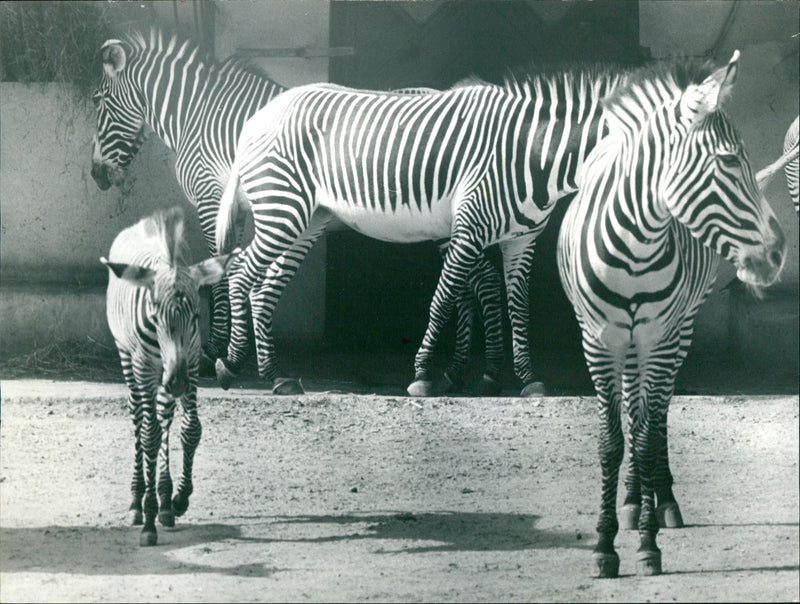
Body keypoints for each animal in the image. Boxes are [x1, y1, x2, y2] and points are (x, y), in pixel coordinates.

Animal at [90, 29, 506, 396]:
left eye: (96, 101)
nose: (96, 176)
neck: (198, 113)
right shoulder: (239, 209)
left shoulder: (211, 199)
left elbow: (220, 274)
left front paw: (213, 352)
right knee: (470, 287)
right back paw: (459, 374)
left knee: (481, 283)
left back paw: (485, 375)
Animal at [102, 206, 238, 546]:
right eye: (154, 314)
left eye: (197, 316)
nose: (175, 383)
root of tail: (139, 226)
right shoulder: (147, 367)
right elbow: (148, 436)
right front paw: (148, 518)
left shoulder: (190, 362)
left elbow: (191, 429)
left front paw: (178, 499)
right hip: (128, 358)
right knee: (139, 418)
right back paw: (137, 502)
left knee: (164, 416)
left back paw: (164, 499)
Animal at [212, 66, 627, 395]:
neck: (531, 154)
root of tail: (259, 116)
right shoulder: (468, 230)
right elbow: (443, 298)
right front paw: (425, 374)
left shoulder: (520, 241)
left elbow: (519, 305)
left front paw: (527, 378)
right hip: (282, 209)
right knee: (240, 275)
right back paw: (230, 366)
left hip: (306, 219)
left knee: (263, 291)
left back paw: (276, 375)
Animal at [557, 51, 786, 578]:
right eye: (728, 160)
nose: (779, 254)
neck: (634, 248)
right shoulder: (597, 340)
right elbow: (611, 440)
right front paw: (604, 545)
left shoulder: (660, 338)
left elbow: (644, 433)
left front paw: (647, 544)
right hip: (626, 341)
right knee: (634, 406)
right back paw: (631, 499)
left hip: (679, 329)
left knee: (656, 412)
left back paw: (660, 501)